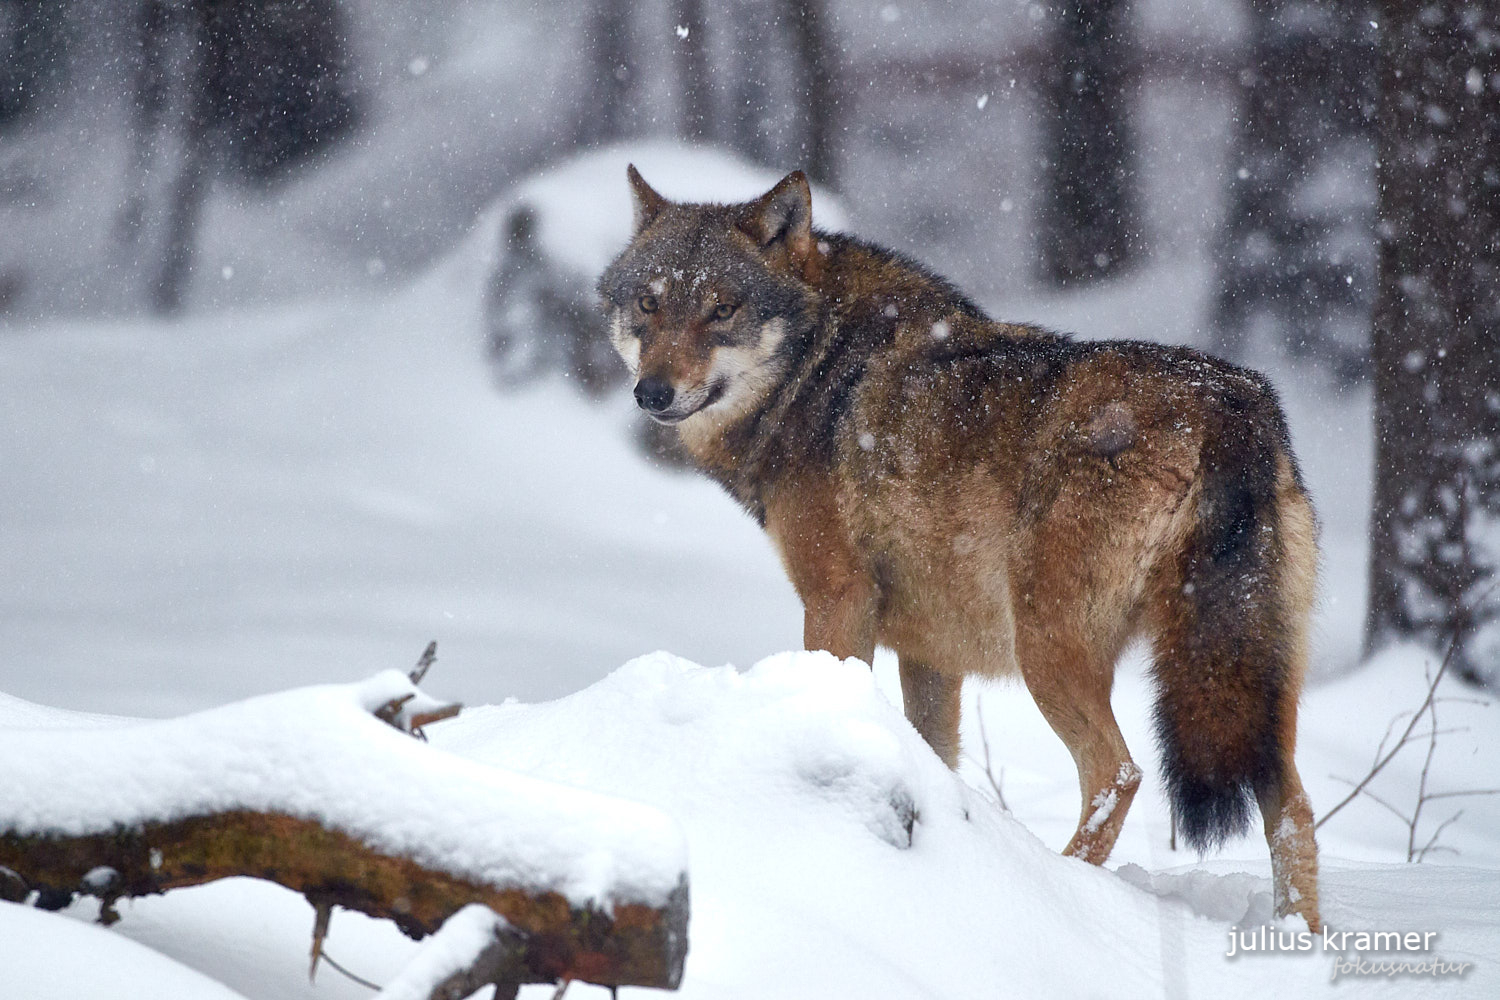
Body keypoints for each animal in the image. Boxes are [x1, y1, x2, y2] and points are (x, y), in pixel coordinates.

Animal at [597, 166, 1326, 929]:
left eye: (722, 309)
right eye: (649, 305)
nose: (653, 392)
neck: (819, 373)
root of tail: (1234, 405)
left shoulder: (837, 600)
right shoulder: (930, 651)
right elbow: (934, 758)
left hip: (1051, 649)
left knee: (1118, 775)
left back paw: (1061, 887)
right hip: (1243, 677)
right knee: (1293, 810)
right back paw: (1297, 938)